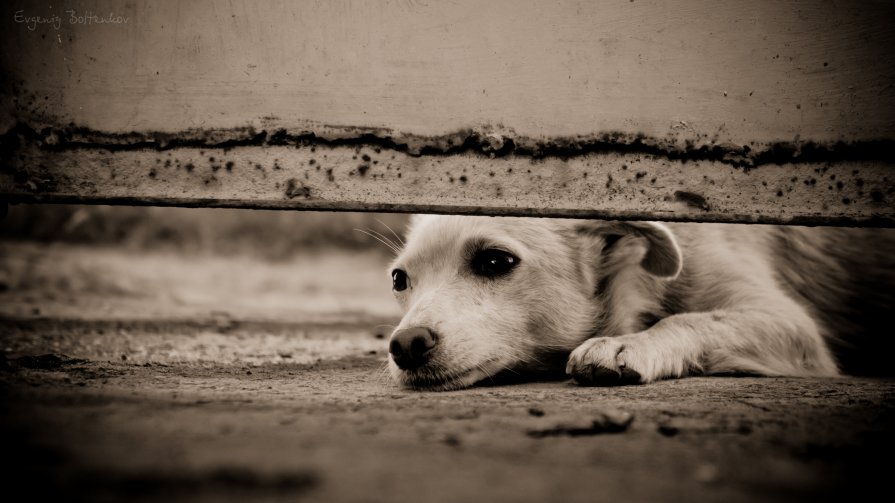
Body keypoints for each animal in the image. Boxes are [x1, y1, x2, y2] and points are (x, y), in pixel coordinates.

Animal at [384, 215, 895, 392]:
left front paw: (626, 345)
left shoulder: (791, 325)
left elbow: (690, 319)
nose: (405, 345)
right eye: (399, 280)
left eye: (494, 260)